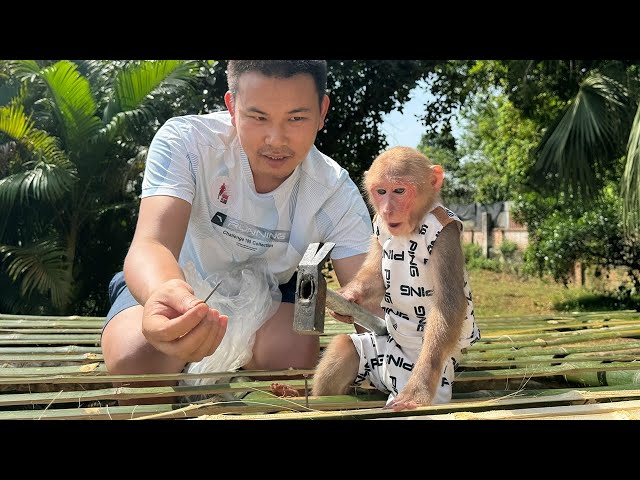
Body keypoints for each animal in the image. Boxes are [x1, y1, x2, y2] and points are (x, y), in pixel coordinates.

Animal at [310, 144, 480, 410]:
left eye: (399, 191)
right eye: (381, 191)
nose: (388, 209)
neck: (412, 228)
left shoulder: (445, 237)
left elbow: (448, 304)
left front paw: (419, 389)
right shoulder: (379, 225)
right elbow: (377, 276)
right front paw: (348, 298)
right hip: (377, 354)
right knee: (345, 348)